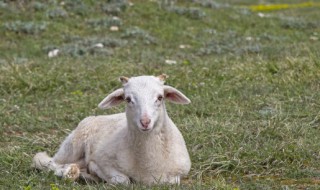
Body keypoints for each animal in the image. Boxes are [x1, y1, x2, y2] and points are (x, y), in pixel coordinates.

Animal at [32, 75, 191, 185]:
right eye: (128, 99)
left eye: (160, 97)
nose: (145, 122)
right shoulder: (104, 161)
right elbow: (122, 180)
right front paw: (95, 172)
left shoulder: (179, 173)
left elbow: (172, 181)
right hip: (72, 146)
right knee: (47, 161)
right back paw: (69, 172)